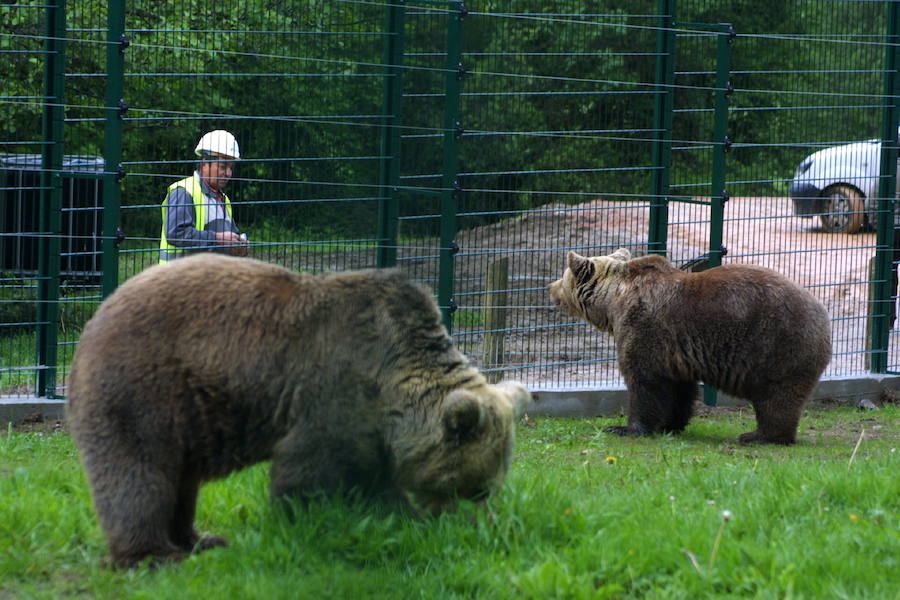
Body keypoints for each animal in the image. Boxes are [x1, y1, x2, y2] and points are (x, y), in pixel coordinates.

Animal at [67, 253, 532, 568]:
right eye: (476, 488)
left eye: (488, 489)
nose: (481, 521)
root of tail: (97, 314)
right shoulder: (334, 393)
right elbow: (308, 472)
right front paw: (306, 519)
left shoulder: (372, 427)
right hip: (143, 388)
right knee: (139, 471)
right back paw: (154, 554)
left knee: (182, 479)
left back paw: (200, 538)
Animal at [544, 247, 832, 446]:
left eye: (564, 276)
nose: (550, 287)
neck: (614, 302)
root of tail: (823, 313)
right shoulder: (678, 350)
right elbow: (678, 388)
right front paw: (671, 424)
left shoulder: (644, 326)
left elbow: (644, 380)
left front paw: (625, 427)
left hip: (778, 344)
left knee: (777, 397)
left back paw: (758, 435)